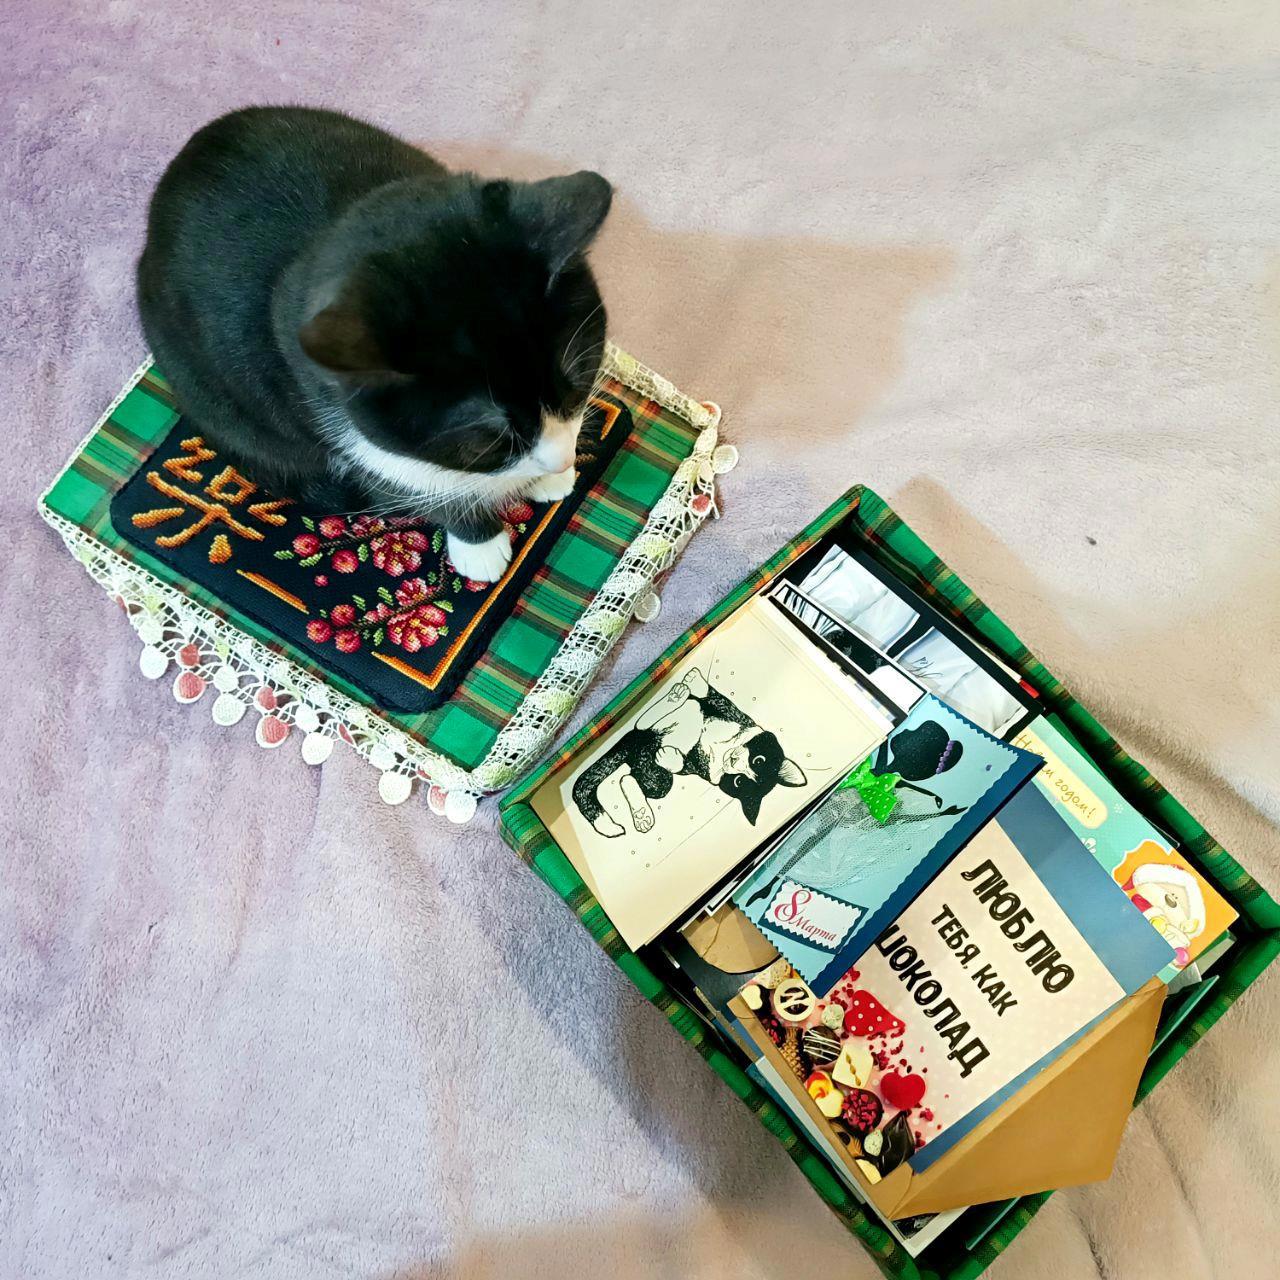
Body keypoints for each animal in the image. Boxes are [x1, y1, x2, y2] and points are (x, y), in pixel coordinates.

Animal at [136, 106, 612, 582]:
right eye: (487, 437)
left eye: (579, 376)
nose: (561, 460)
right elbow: (413, 481)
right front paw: (479, 543)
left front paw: (550, 479)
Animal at [571, 666, 807, 837]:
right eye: (758, 760)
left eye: (738, 782)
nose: (732, 760)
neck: (724, 748)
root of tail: (637, 745)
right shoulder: (737, 717)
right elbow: (718, 699)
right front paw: (696, 681)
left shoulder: (704, 771)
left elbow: (687, 764)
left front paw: (670, 757)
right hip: (669, 720)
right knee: (645, 721)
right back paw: (676, 696)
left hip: (655, 776)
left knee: (632, 779)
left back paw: (642, 815)